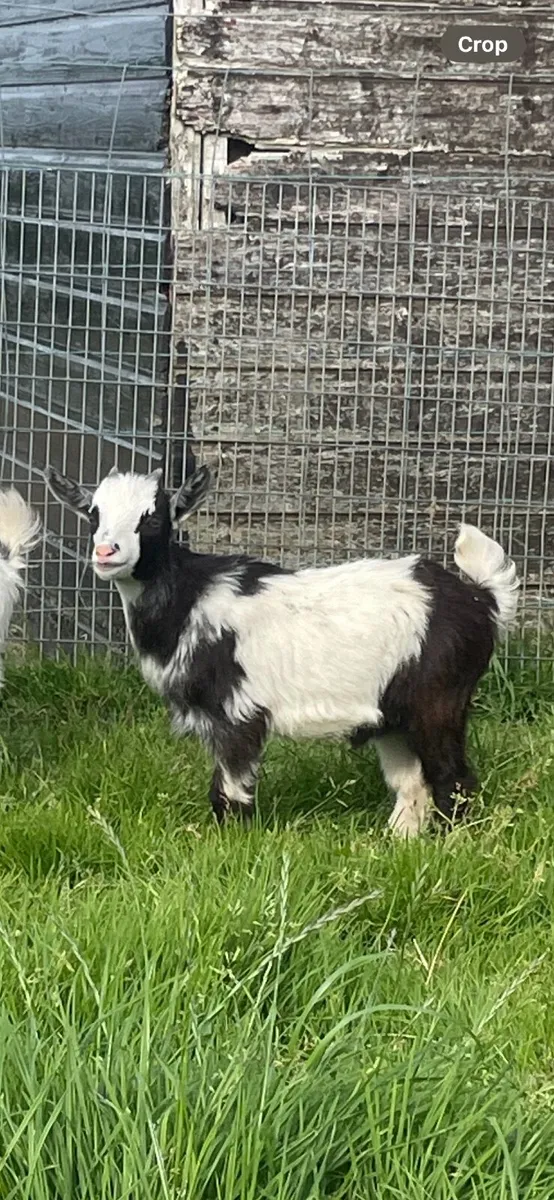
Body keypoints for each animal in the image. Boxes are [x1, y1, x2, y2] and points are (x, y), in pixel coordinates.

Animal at [45, 463, 519, 836]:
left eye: (154, 518)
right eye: (93, 514)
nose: (106, 551)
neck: (189, 598)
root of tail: (480, 597)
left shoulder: (237, 714)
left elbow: (230, 792)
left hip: (439, 700)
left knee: (454, 779)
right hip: (393, 716)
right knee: (413, 784)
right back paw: (398, 843)